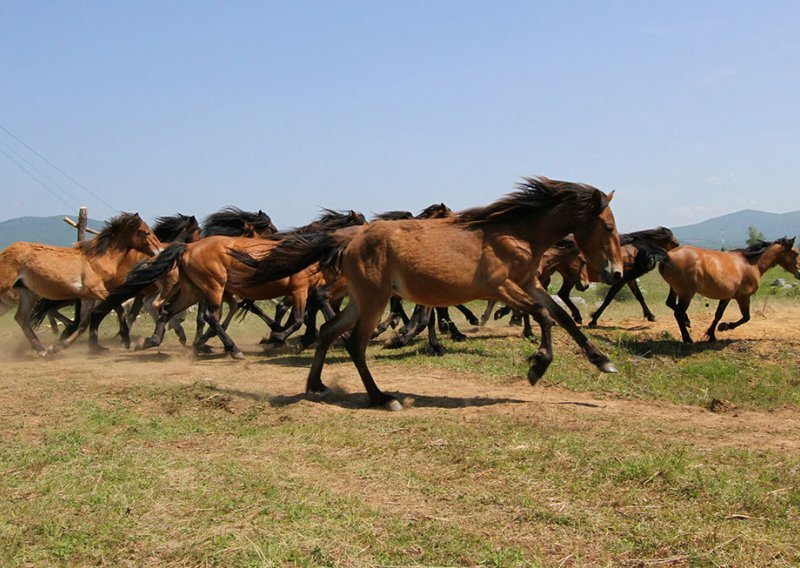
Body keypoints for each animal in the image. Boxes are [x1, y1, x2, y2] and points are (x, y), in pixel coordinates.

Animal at [0, 213, 162, 356]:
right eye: (146, 233)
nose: (160, 251)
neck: (98, 259)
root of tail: (4, 252)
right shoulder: (98, 291)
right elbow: (118, 310)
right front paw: (126, 341)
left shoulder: (87, 296)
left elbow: (84, 324)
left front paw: (60, 346)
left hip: (25, 295)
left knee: (21, 318)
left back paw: (41, 350)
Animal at [238, 176, 624, 408]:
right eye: (607, 226)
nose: (615, 272)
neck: (516, 233)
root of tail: (347, 239)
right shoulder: (501, 286)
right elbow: (543, 315)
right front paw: (538, 366)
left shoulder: (530, 284)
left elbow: (561, 316)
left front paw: (603, 360)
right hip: (374, 300)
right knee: (354, 343)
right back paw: (382, 398)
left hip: (361, 299)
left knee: (330, 331)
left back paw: (316, 385)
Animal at [660, 236, 796, 342]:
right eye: (796, 254)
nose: (799, 272)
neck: (752, 265)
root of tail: (668, 255)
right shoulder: (743, 297)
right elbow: (746, 317)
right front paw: (724, 327)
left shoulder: (727, 296)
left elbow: (718, 315)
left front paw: (712, 335)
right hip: (686, 293)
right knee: (677, 312)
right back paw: (687, 338)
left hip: (676, 290)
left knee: (671, 304)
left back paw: (687, 321)